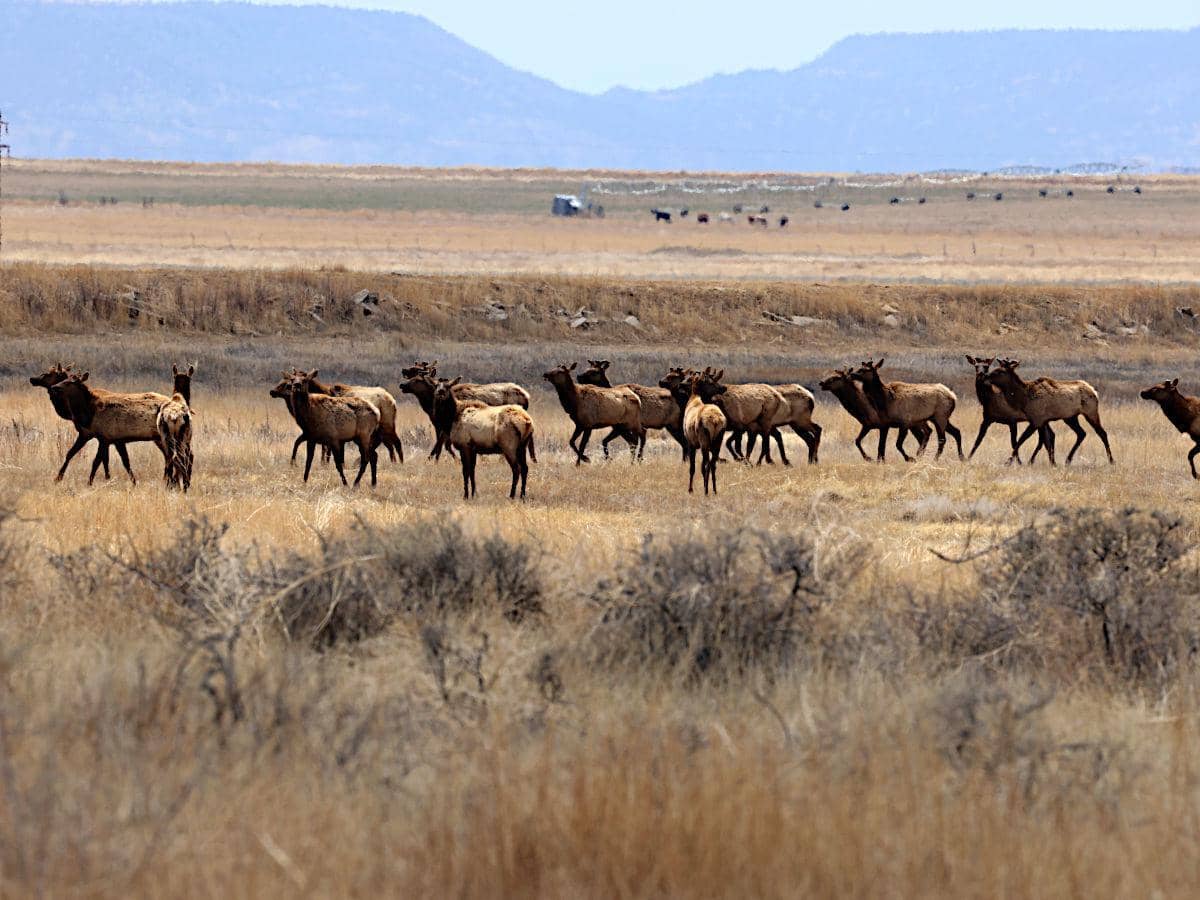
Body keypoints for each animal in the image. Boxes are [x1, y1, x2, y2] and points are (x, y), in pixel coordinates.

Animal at [984, 359, 1114, 466]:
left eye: (1000, 371)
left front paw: (1009, 461)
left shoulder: (1037, 420)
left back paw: (1111, 460)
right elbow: (1045, 441)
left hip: (1091, 412)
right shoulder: (1041, 421)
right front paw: (1050, 462)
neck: (1023, 398)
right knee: (1081, 433)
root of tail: (1094, 391)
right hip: (1070, 417)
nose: (985, 376)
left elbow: (1021, 439)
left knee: (1102, 433)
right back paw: (1068, 460)